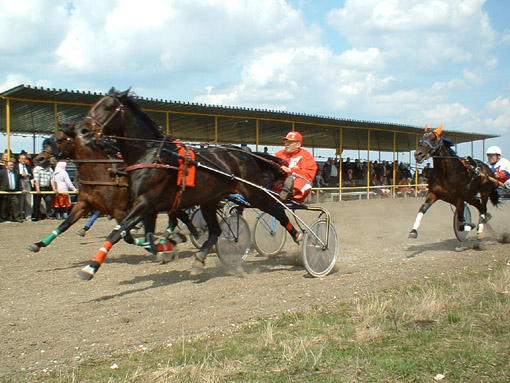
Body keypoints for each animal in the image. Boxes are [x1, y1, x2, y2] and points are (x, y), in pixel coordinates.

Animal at [75, 88, 298, 280]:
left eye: (107, 107)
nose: (83, 131)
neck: (152, 155)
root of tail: (245, 153)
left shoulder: (146, 203)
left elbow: (117, 233)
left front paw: (90, 268)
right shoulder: (148, 206)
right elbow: (146, 239)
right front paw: (171, 243)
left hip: (254, 193)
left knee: (279, 211)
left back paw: (299, 237)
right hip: (210, 200)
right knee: (215, 231)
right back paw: (198, 259)